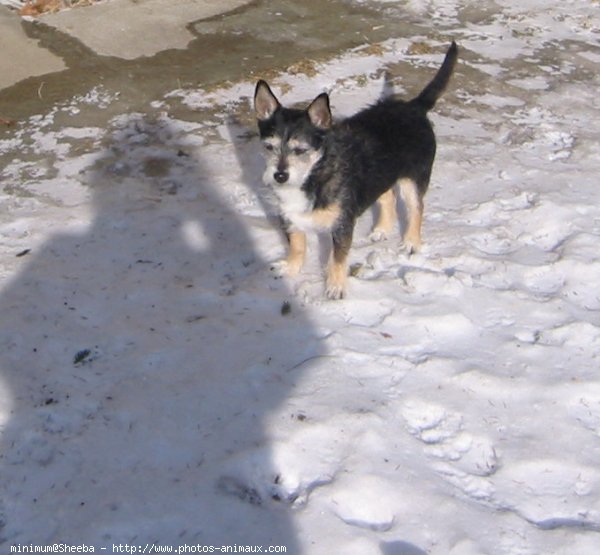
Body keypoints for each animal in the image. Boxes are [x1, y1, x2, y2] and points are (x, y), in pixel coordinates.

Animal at [254, 40, 460, 300]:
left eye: (300, 150)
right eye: (268, 147)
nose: (280, 176)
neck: (315, 175)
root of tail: (413, 107)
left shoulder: (342, 224)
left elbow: (338, 258)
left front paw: (335, 287)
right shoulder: (289, 217)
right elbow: (297, 245)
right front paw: (291, 267)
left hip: (413, 180)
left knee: (416, 208)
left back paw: (412, 242)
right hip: (380, 175)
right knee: (387, 198)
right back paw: (382, 229)